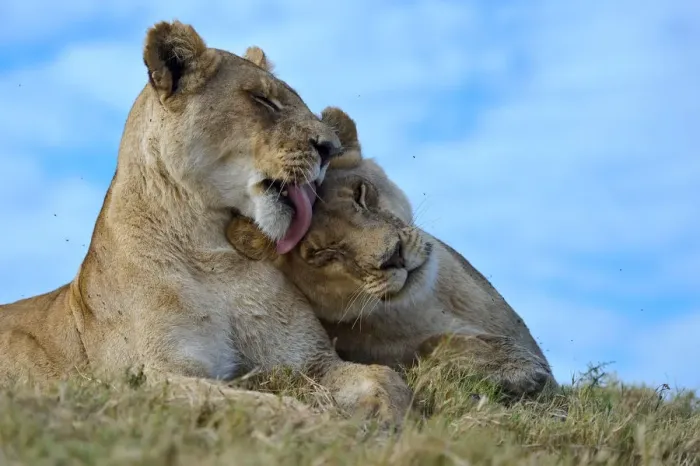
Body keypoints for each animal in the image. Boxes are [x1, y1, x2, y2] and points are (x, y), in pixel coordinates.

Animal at [0, 21, 411, 425]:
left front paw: (388, 422)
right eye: (263, 100)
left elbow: (385, 379)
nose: (330, 148)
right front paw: (327, 427)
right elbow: (265, 407)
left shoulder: (312, 362)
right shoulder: (151, 379)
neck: (210, 250)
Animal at [226, 107, 557, 398]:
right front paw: (515, 367)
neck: (427, 306)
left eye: (360, 194)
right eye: (323, 252)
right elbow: (429, 346)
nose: (393, 256)